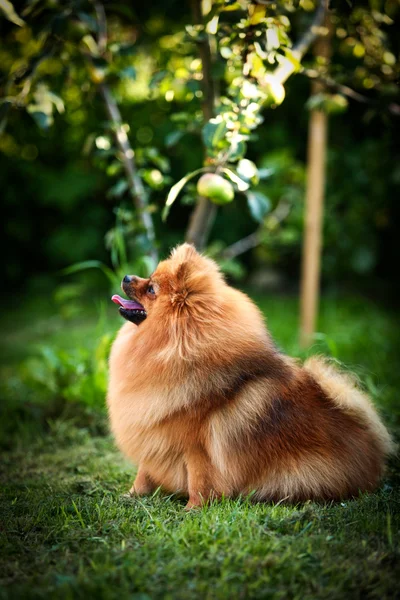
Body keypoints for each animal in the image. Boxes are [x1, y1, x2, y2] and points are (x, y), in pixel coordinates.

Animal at [107, 241, 394, 508]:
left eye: (151, 288)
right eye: (148, 276)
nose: (127, 277)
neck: (171, 348)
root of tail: (373, 448)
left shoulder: (196, 446)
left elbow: (200, 481)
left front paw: (192, 510)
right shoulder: (153, 436)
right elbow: (144, 474)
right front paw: (130, 496)